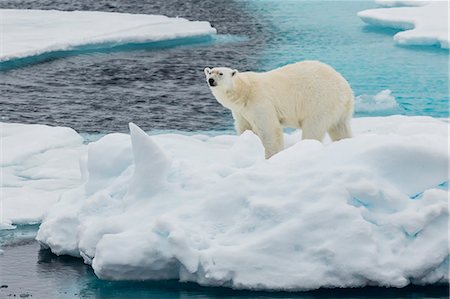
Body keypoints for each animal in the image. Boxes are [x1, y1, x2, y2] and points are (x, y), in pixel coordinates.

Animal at [205, 61, 356, 159]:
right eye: (210, 72)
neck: (244, 91)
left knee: (313, 128)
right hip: (339, 108)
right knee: (340, 128)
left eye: (220, 73)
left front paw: (270, 157)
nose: (211, 80)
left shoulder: (260, 102)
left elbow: (270, 131)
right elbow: (245, 129)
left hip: (319, 101)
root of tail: (346, 88)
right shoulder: (241, 112)